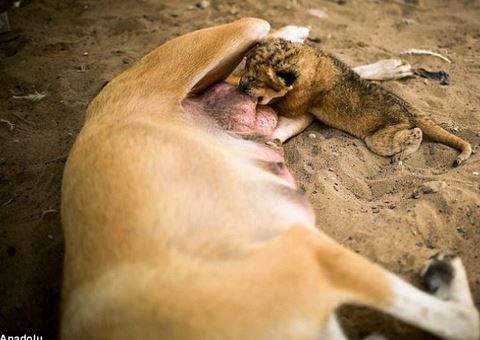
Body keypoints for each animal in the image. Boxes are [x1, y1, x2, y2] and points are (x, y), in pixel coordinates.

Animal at [62, 18, 478, 340]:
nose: (246, 89)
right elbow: (459, 319)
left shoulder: (306, 253)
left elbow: (460, 319)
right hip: (283, 116)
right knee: (326, 71)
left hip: (246, 33)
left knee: (305, 56)